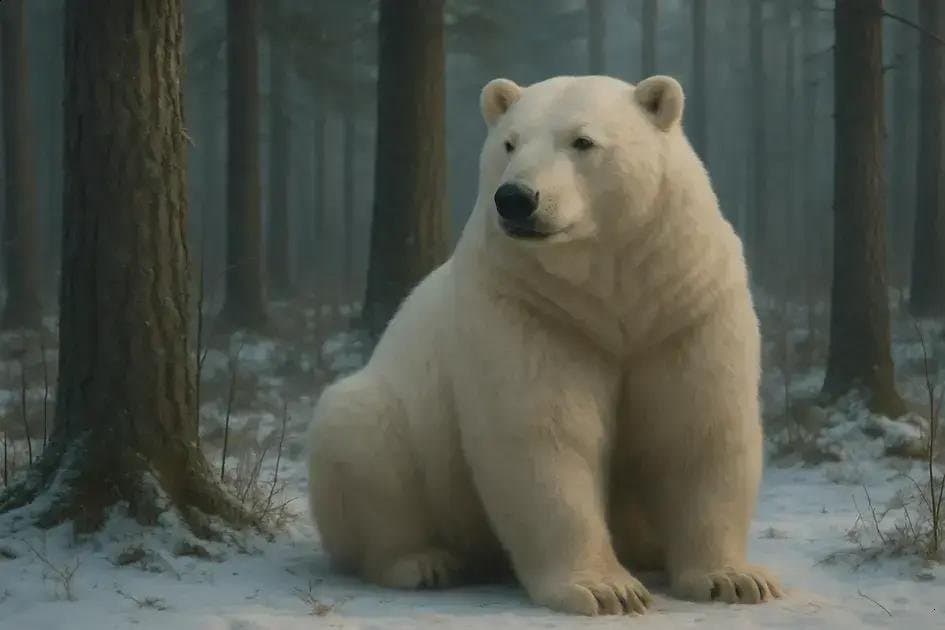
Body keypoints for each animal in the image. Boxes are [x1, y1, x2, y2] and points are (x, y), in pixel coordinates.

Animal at [306, 74, 782, 616]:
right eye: (509, 143)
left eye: (582, 141)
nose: (516, 198)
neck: (612, 289)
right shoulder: (532, 308)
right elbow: (547, 434)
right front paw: (605, 588)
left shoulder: (684, 306)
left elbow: (698, 427)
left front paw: (734, 579)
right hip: (392, 421)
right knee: (362, 437)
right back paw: (423, 562)